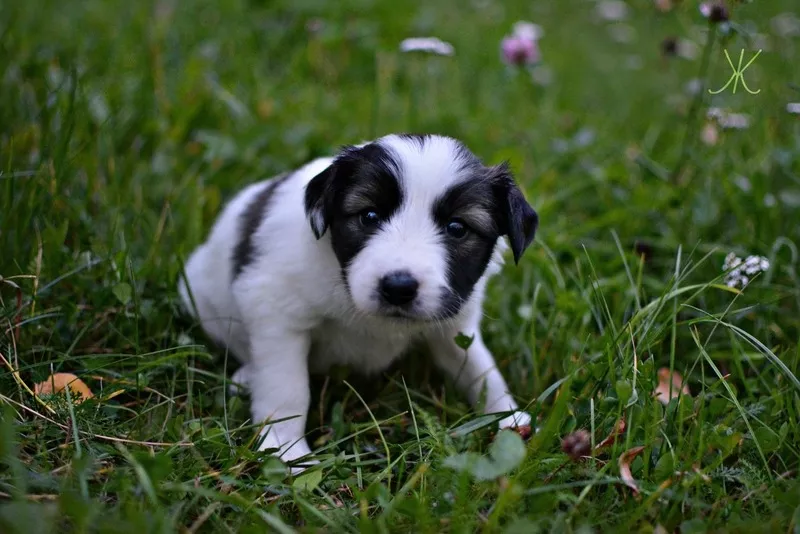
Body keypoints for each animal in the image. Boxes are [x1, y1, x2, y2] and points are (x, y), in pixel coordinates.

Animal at [179, 134, 540, 474]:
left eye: (457, 228)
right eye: (369, 216)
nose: (398, 288)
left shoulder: (453, 324)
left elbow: (481, 368)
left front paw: (507, 417)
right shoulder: (276, 311)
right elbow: (287, 388)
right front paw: (286, 452)